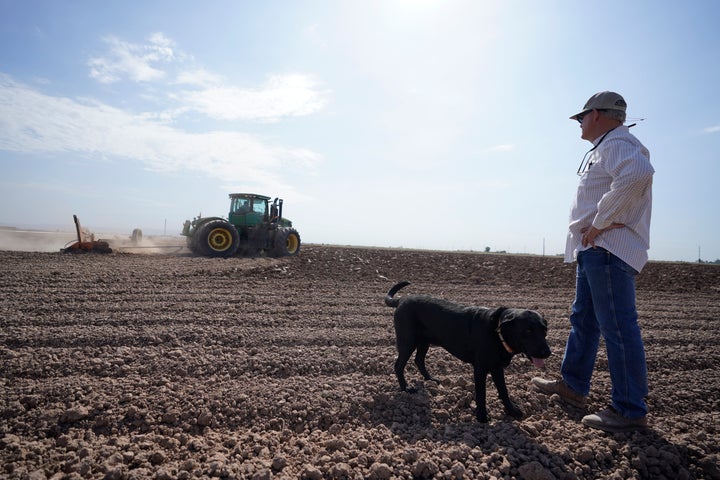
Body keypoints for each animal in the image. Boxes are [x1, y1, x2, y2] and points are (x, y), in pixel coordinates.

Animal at [386, 280, 548, 422]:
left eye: (544, 330)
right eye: (528, 331)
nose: (547, 352)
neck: (497, 333)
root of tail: (402, 300)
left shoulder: (497, 368)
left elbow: (503, 390)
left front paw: (511, 410)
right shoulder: (480, 369)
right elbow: (481, 394)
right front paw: (482, 417)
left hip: (423, 342)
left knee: (419, 360)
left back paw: (430, 379)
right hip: (407, 342)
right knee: (399, 365)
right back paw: (406, 388)